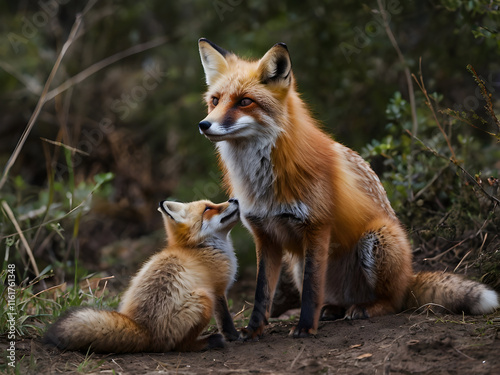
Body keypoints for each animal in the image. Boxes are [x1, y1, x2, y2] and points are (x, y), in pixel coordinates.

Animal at [43, 200, 240, 352]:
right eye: (208, 208)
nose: (234, 199)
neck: (200, 248)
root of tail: (145, 330)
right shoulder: (218, 290)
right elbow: (225, 319)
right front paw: (235, 336)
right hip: (203, 298)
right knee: (179, 346)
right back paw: (208, 342)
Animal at [197, 39, 498, 340]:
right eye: (215, 101)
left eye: (244, 101)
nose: (204, 124)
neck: (262, 183)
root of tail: (410, 276)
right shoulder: (265, 235)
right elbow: (262, 292)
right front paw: (252, 330)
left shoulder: (316, 227)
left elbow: (311, 291)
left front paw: (305, 327)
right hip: (298, 263)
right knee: (334, 300)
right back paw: (334, 310)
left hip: (377, 238)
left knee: (394, 302)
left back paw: (366, 308)